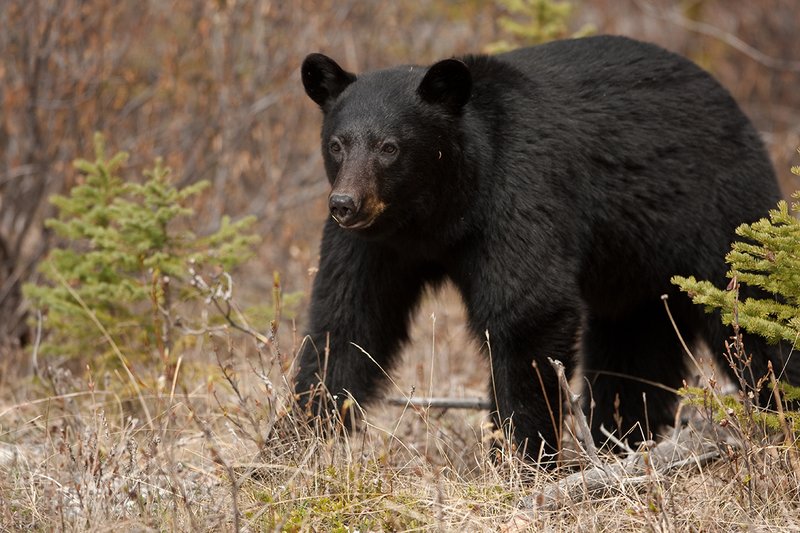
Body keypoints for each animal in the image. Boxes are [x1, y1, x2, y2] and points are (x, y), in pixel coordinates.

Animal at [294, 34, 791, 462]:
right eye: (337, 144)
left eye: (390, 147)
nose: (345, 204)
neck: (436, 215)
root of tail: (732, 105)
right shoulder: (376, 245)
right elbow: (348, 321)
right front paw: (301, 437)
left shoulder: (518, 194)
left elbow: (529, 314)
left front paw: (521, 455)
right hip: (635, 269)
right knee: (635, 349)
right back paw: (621, 440)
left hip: (720, 217)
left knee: (759, 319)